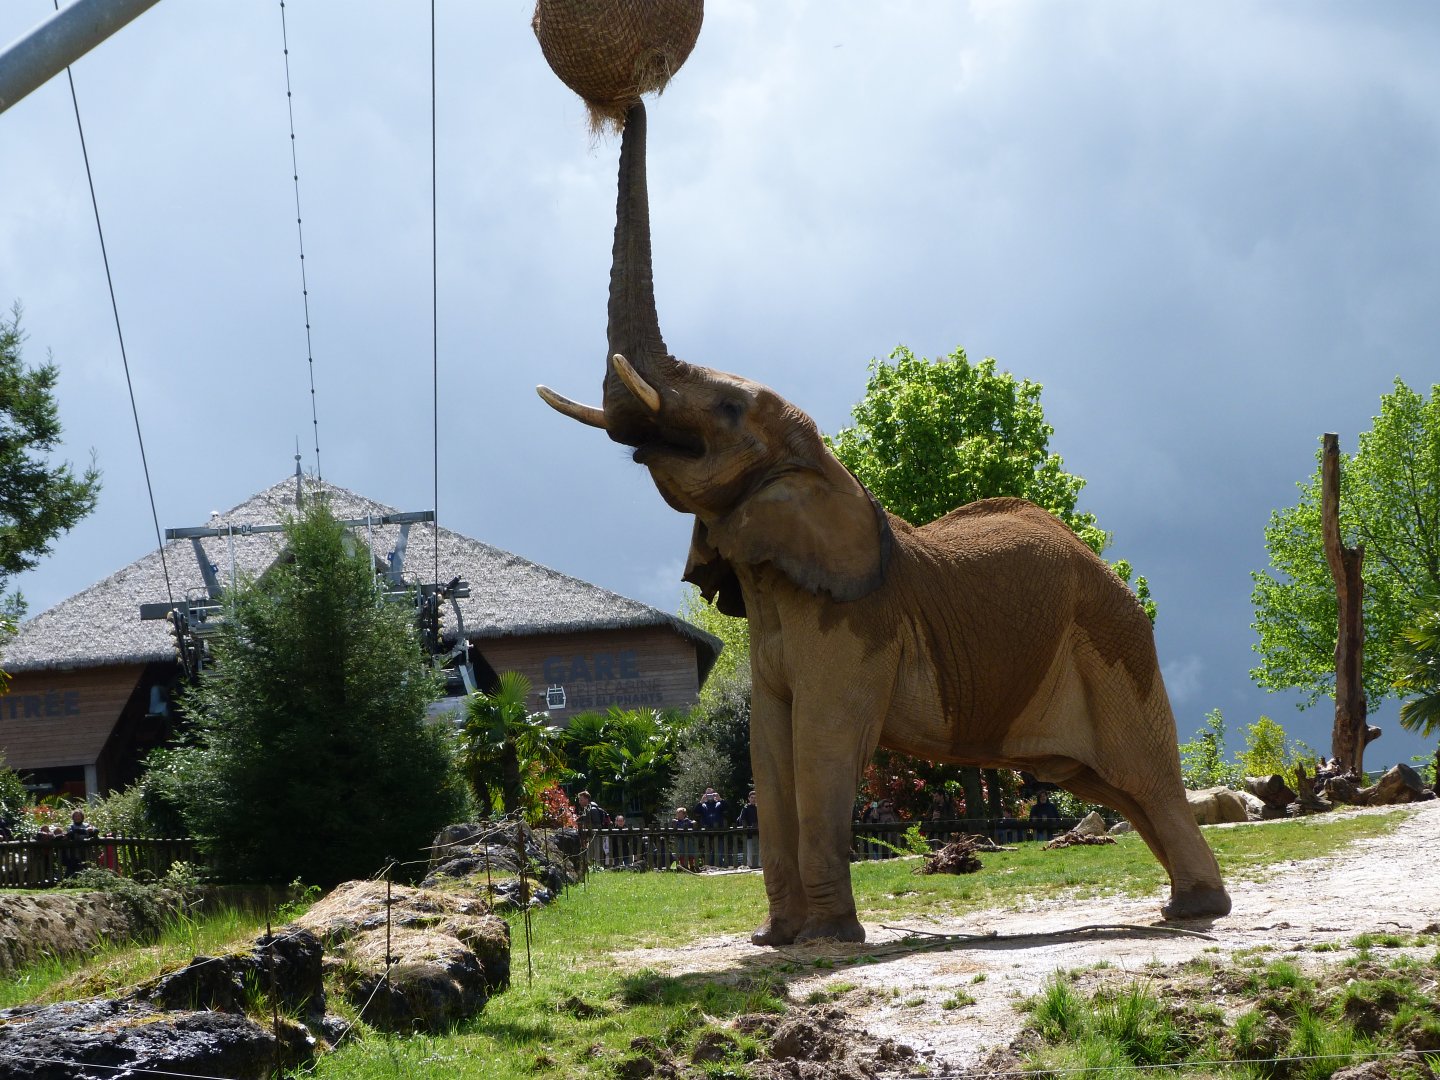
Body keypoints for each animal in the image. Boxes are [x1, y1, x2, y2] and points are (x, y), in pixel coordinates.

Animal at [537, 102, 1231, 945]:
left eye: (728, 410)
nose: (631, 104)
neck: (826, 472)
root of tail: (1109, 572)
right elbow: (769, 750)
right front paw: (776, 942)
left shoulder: (855, 623)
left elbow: (822, 742)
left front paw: (829, 940)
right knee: (1113, 785)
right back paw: (1182, 909)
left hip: (1115, 644)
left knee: (1145, 775)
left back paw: (1198, 912)